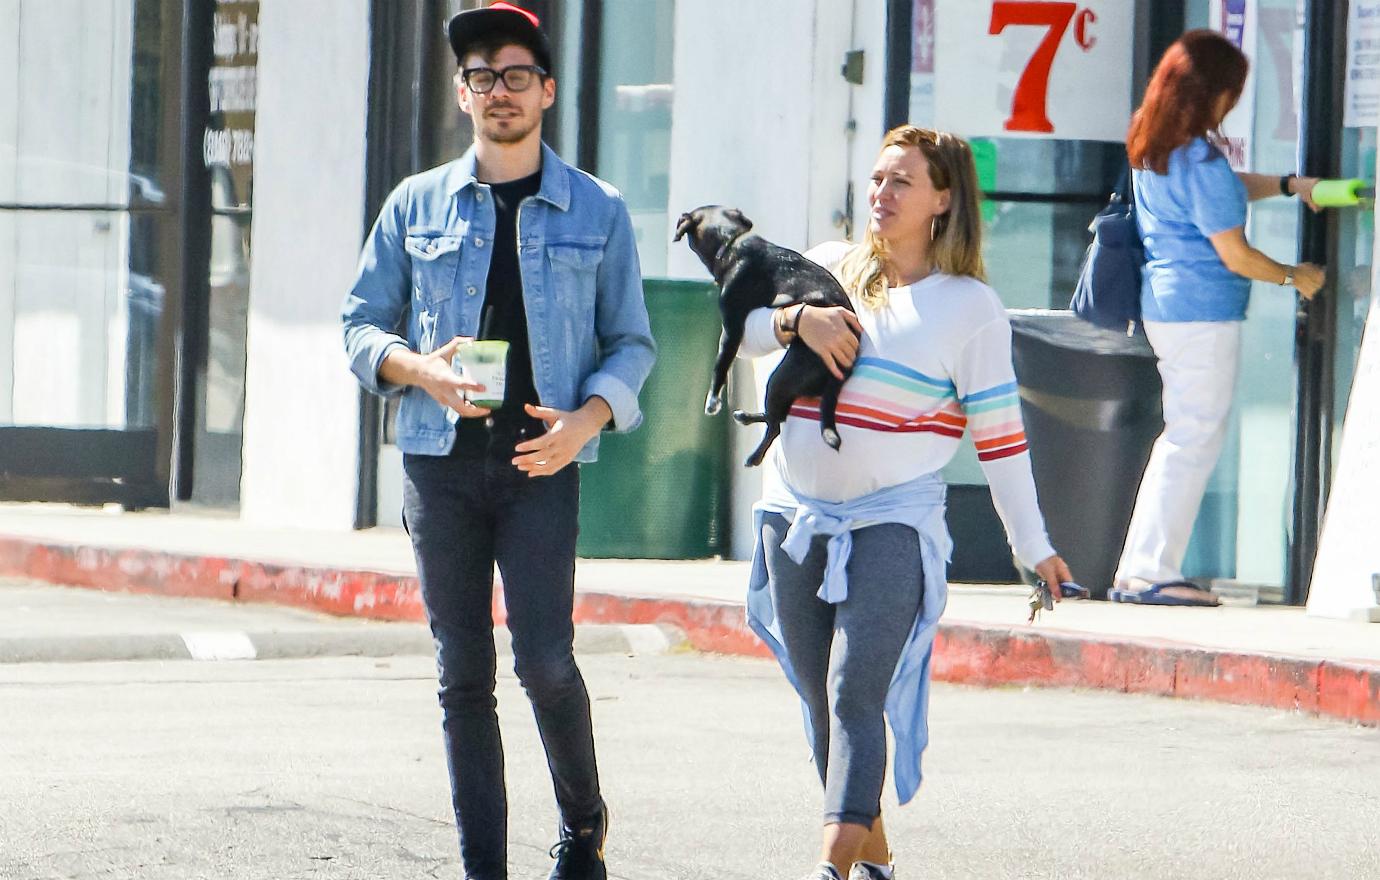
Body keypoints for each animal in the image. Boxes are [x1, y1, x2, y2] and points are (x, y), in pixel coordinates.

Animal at [673, 205, 855, 468]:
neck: (732, 241)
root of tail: (844, 369)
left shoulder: (732, 328)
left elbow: (720, 365)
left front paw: (713, 400)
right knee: (775, 417)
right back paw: (746, 417)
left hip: (781, 378)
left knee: (776, 424)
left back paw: (754, 456)